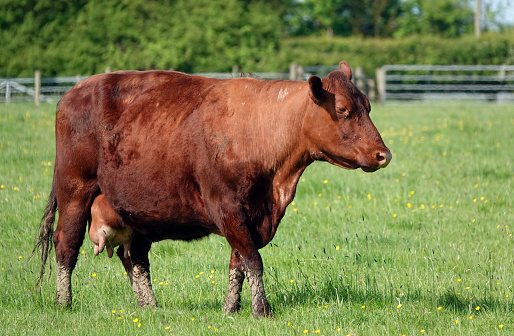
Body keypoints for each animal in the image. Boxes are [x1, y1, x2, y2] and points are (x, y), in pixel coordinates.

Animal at [34, 61, 390, 318]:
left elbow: (238, 264)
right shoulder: (227, 208)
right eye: (342, 109)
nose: (382, 154)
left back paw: (150, 307)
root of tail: (73, 92)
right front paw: (262, 311)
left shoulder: (250, 216)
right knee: (66, 246)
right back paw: (63, 303)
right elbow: (253, 260)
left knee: (134, 256)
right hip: (74, 191)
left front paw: (231, 310)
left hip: (134, 211)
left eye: (369, 106)